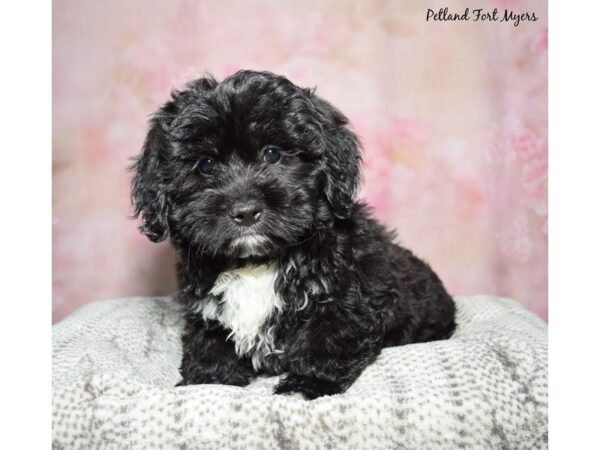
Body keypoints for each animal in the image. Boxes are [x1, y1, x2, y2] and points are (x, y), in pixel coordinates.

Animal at [131, 68, 454, 400]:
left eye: (273, 154)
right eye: (205, 165)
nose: (246, 211)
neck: (257, 262)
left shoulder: (348, 293)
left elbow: (328, 337)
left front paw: (309, 383)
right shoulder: (206, 306)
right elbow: (209, 340)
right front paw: (208, 379)